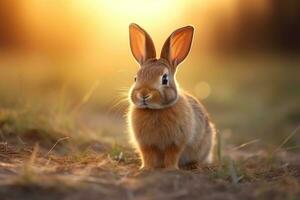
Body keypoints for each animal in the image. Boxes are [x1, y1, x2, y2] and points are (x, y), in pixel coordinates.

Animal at [126, 23, 216, 170]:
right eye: (135, 78)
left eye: (165, 79)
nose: (144, 94)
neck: (154, 110)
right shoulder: (145, 144)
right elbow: (147, 156)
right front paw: (146, 168)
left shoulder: (176, 142)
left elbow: (172, 155)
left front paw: (171, 169)